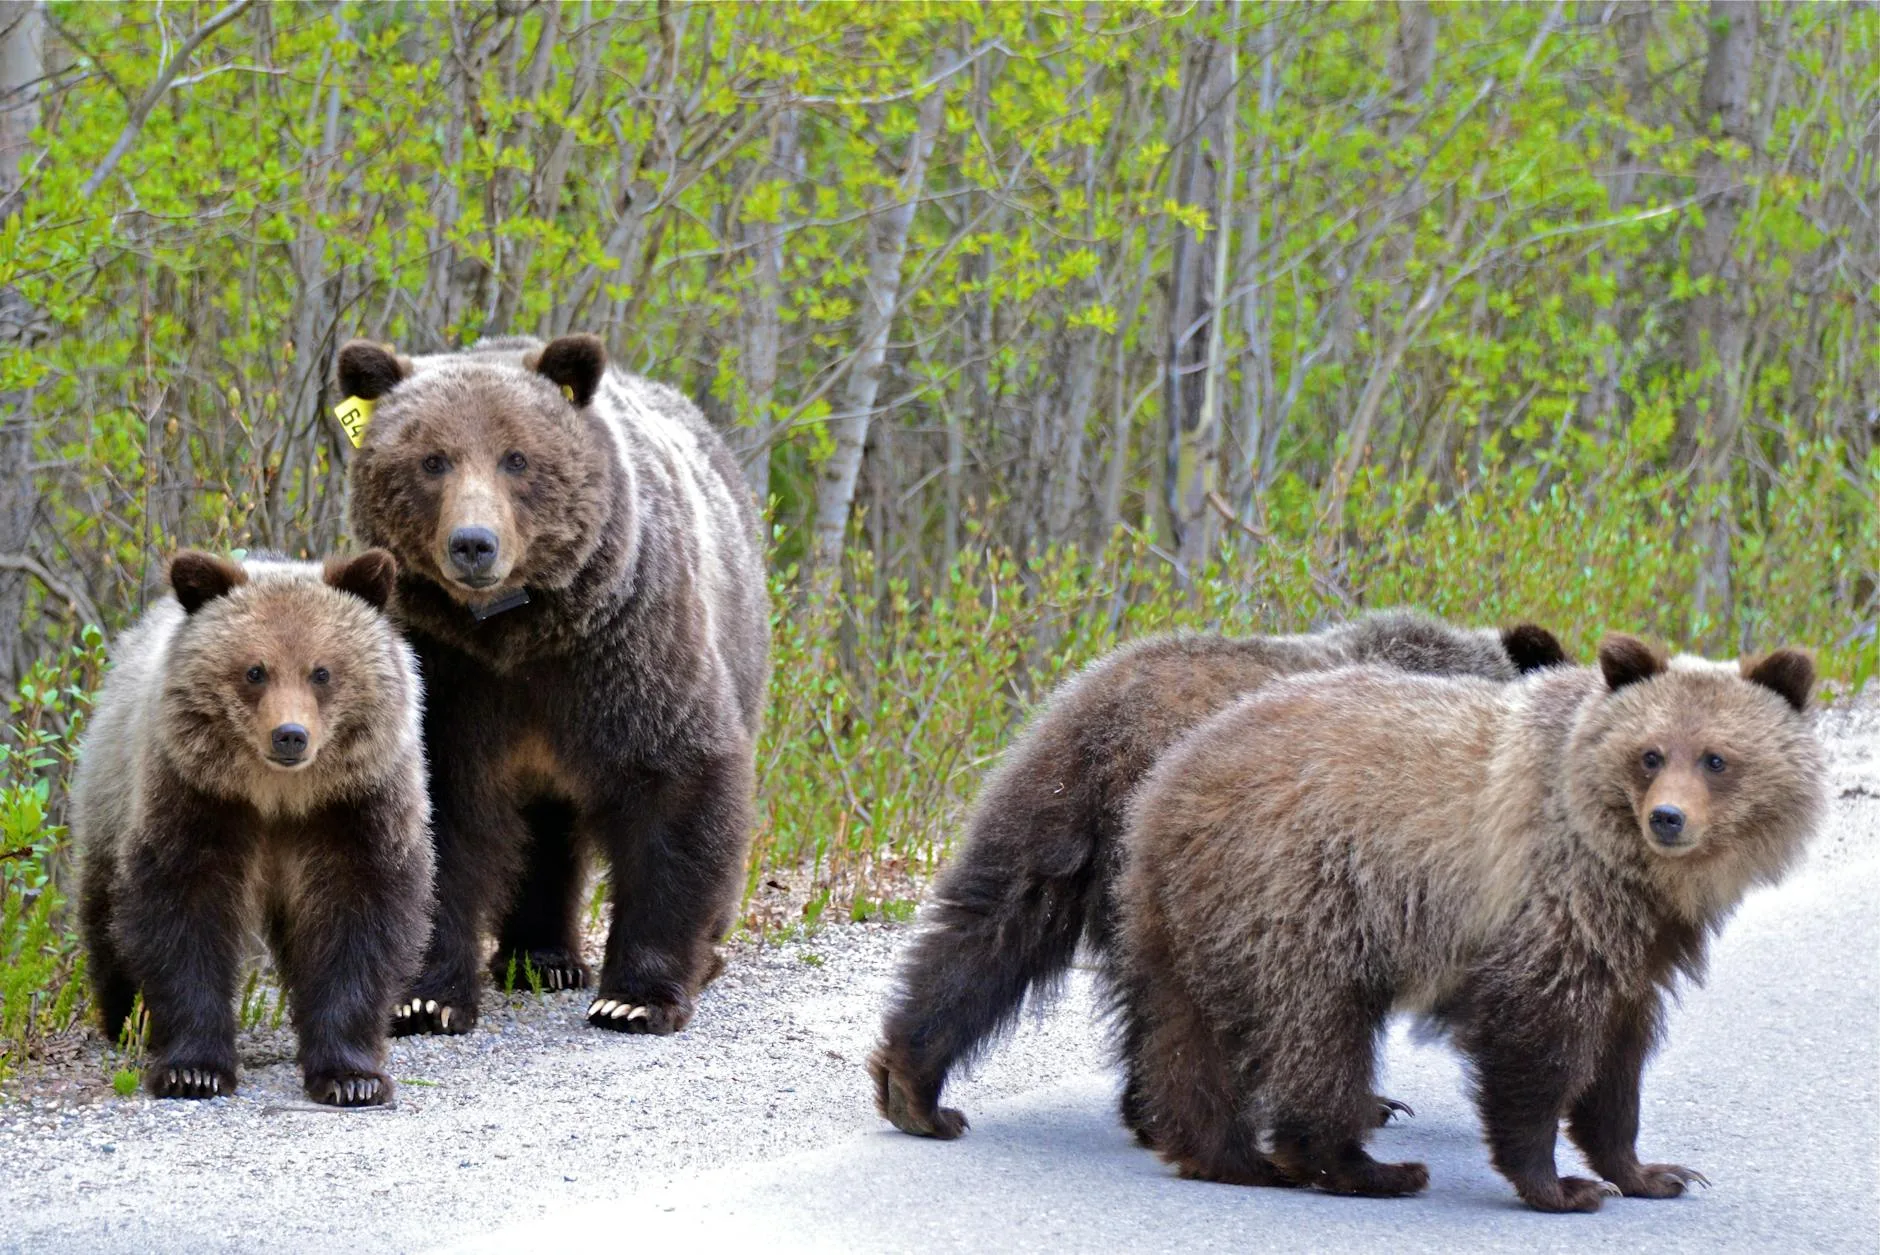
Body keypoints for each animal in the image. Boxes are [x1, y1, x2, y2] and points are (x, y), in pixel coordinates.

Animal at [74, 549, 430, 1106]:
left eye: (321, 671)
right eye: (255, 670)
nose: (291, 735)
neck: (278, 795)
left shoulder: (352, 807)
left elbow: (356, 917)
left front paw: (352, 1077)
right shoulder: (199, 798)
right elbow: (184, 912)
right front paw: (193, 1070)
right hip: (110, 790)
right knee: (105, 912)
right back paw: (124, 1017)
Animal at [339, 332, 768, 1037]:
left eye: (516, 458)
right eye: (433, 460)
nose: (473, 544)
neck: (518, 633)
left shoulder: (627, 648)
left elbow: (678, 782)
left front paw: (634, 998)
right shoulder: (447, 673)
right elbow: (438, 814)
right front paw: (424, 999)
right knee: (543, 830)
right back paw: (539, 957)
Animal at [1113, 636, 1824, 1211]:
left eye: (1715, 758)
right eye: (1650, 754)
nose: (1668, 818)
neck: (1633, 869)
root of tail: (1170, 781)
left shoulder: (1640, 938)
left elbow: (1620, 1058)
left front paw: (1652, 1172)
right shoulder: (1552, 896)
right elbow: (1536, 1037)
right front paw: (1562, 1185)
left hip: (1185, 915)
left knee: (1184, 1035)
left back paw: (1227, 1156)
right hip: (1302, 891)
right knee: (1317, 1028)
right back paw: (1368, 1166)